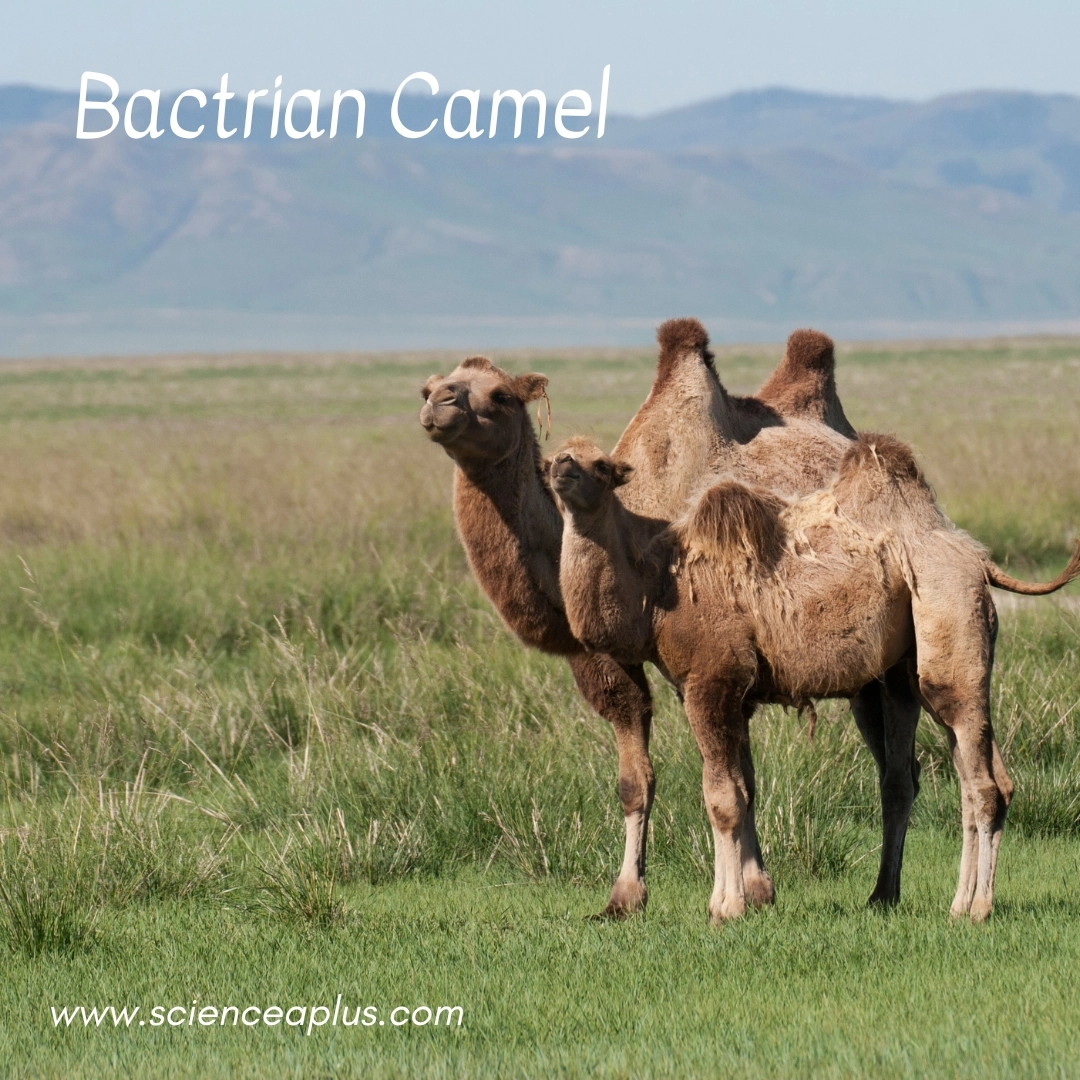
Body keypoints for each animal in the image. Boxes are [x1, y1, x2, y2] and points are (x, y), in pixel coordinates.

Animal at [419, 319, 915, 914]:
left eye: (499, 395)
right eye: (430, 386)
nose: (439, 405)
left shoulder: (706, 657)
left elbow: (717, 779)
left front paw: (714, 891)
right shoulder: (621, 659)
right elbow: (657, 779)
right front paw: (652, 895)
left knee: (897, 772)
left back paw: (884, 892)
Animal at [550, 434, 1080, 922]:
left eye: (601, 465)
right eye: (558, 452)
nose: (560, 467)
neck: (661, 589)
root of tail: (979, 558)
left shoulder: (711, 680)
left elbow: (721, 798)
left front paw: (726, 908)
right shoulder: (718, 691)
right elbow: (739, 789)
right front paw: (737, 900)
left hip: (946, 611)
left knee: (980, 781)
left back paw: (977, 907)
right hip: (921, 661)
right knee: (982, 778)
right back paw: (952, 903)